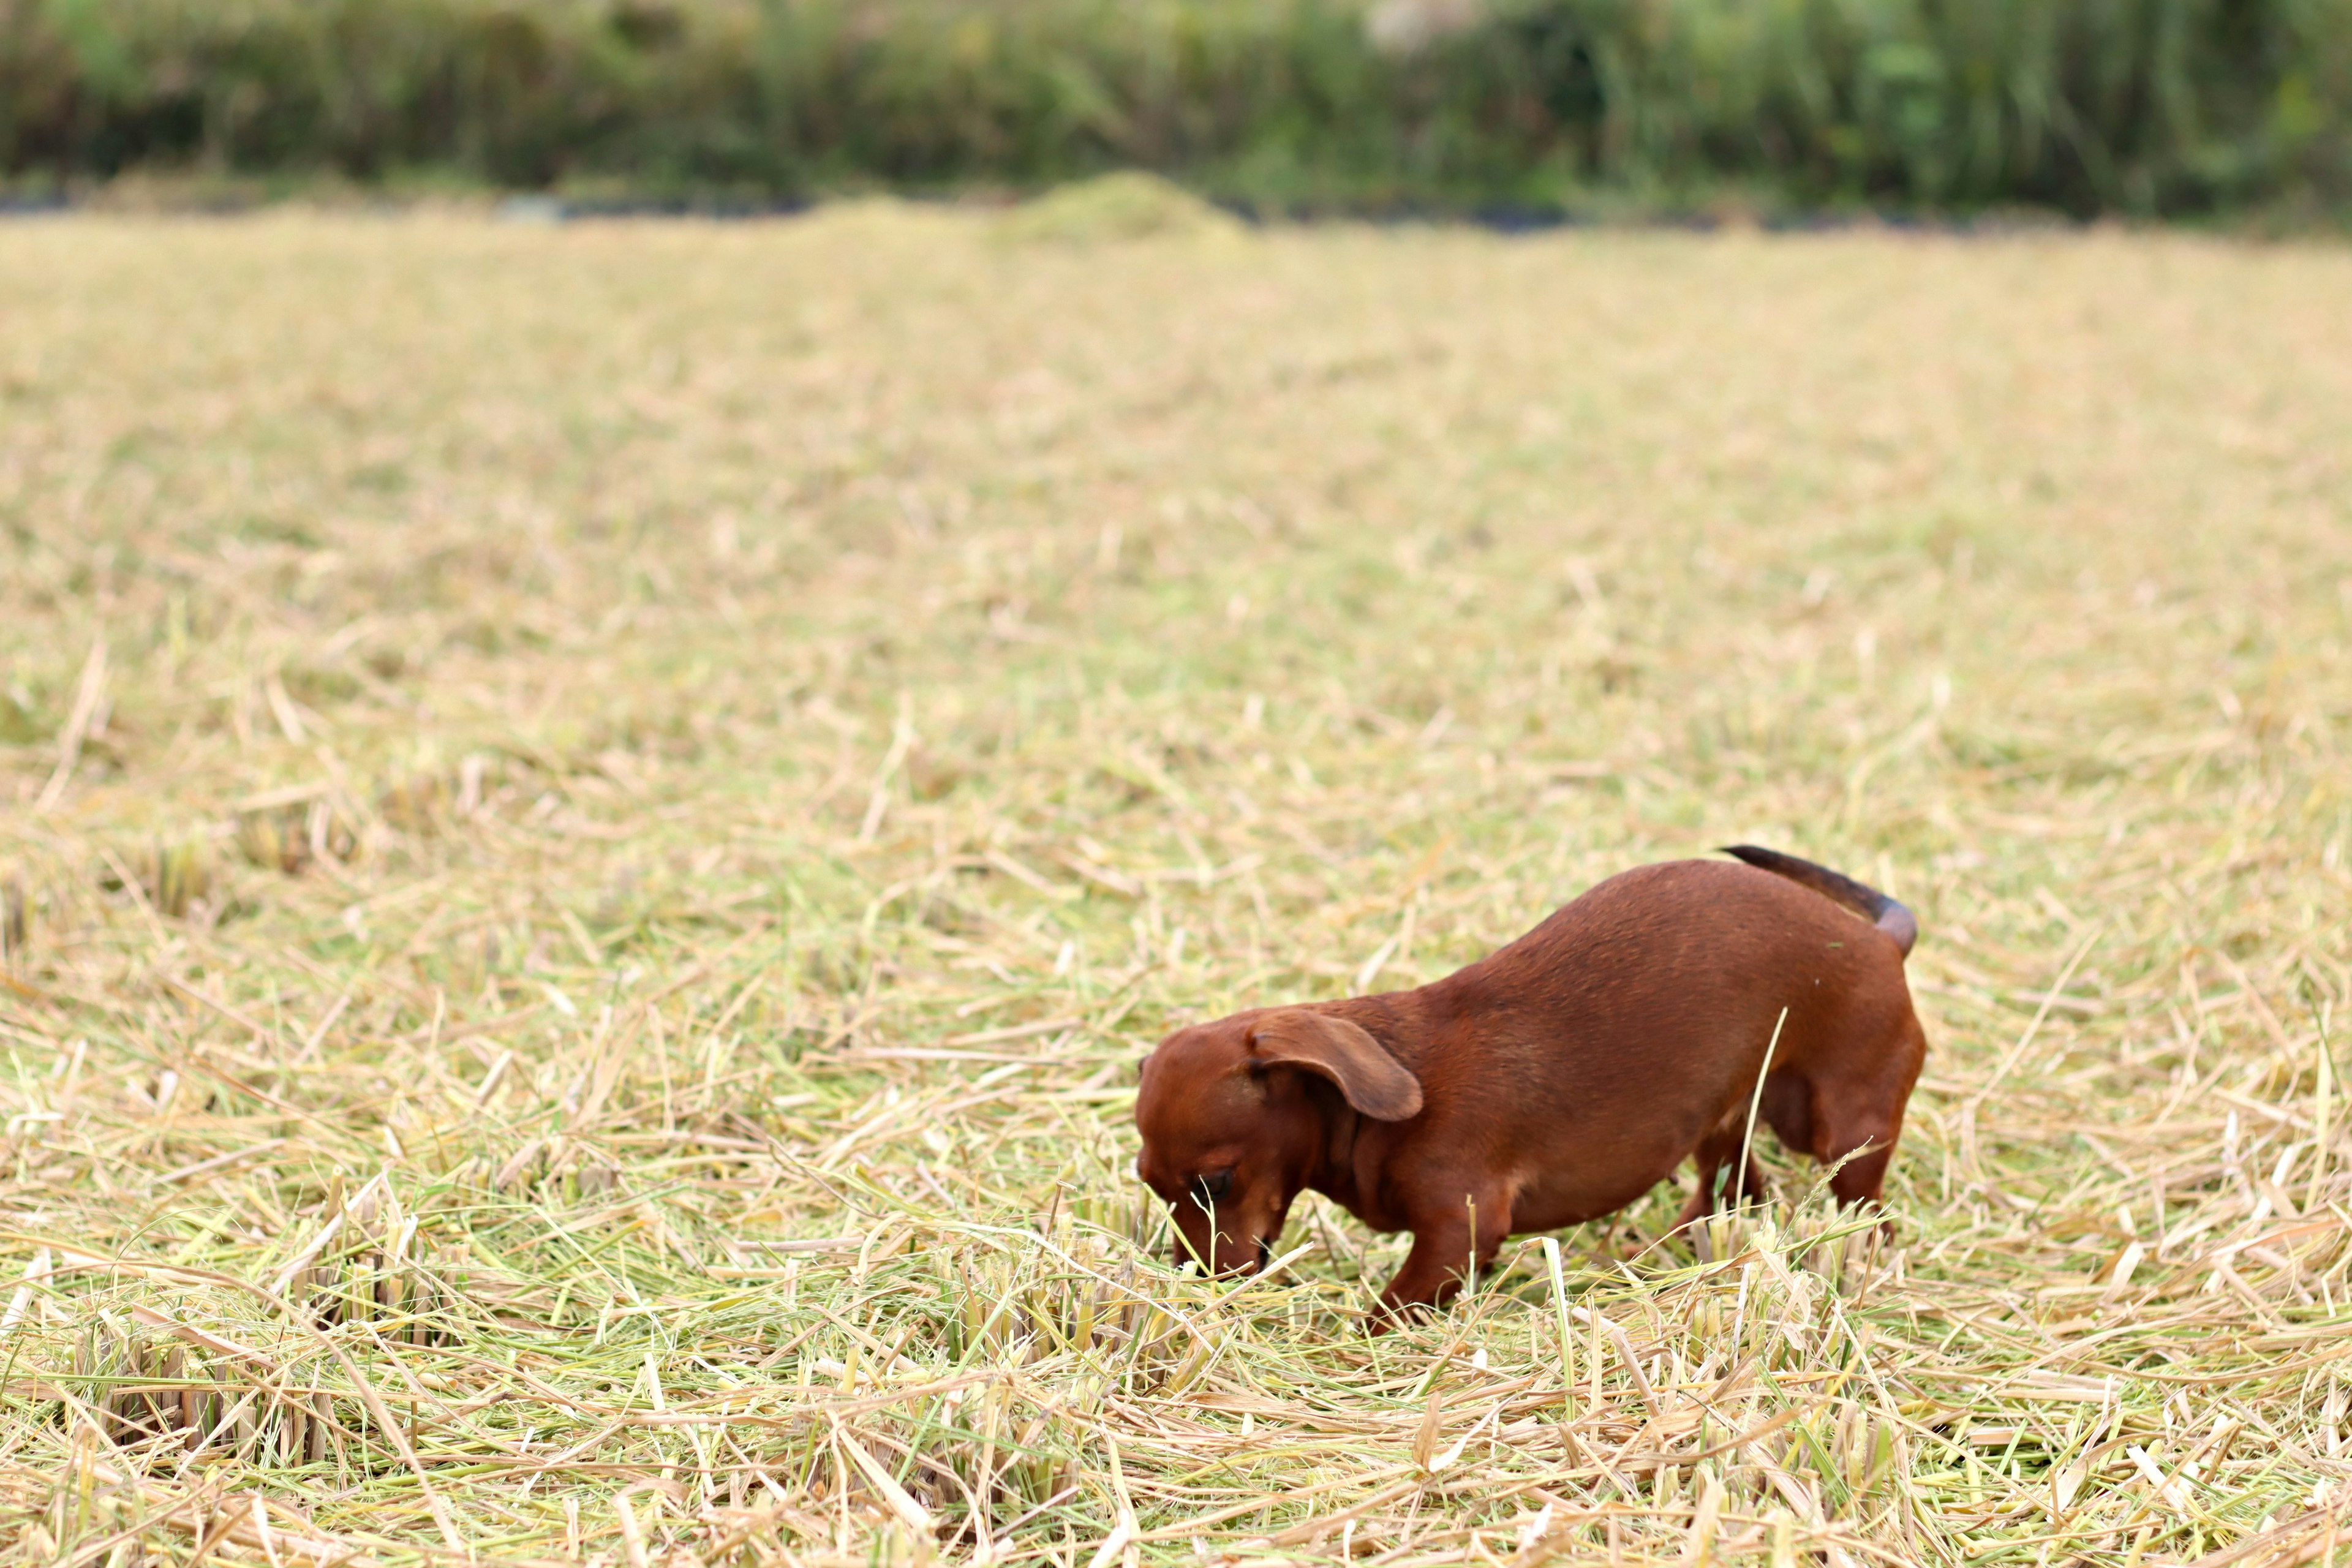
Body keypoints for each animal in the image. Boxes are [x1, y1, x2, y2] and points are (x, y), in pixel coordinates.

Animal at [1138, 851, 1928, 1316]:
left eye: (1215, 1183)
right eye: (1150, 1184)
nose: (1191, 1280)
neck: (1385, 1108)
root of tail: (1879, 941)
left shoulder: (1459, 1228)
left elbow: (1392, 1308)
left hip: (1839, 1130)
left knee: (1864, 1209)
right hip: (1726, 1117)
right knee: (1736, 1184)